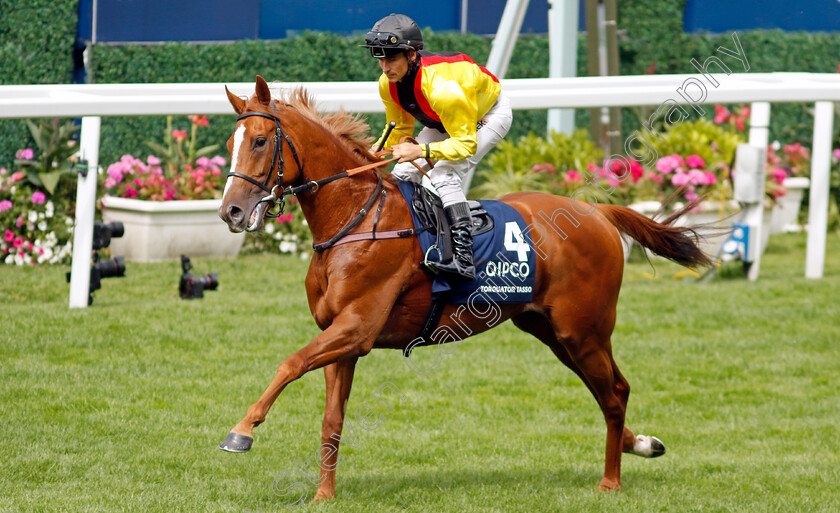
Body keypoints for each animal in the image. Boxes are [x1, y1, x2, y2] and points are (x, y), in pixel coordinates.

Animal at [218, 76, 708, 500]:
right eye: (230, 145)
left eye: (259, 141)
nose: (231, 212)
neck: (354, 219)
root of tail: (598, 213)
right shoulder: (340, 336)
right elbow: (331, 418)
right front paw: (324, 494)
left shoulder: (356, 328)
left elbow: (290, 363)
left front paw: (240, 432)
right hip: (551, 331)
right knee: (610, 389)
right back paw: (640, 443)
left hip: (582, 331)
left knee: (613, 394)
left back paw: (611, 481)